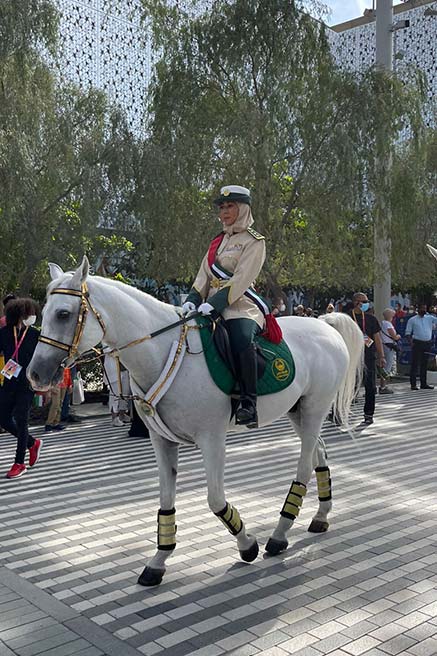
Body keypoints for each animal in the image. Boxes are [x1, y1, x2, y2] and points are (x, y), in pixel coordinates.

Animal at [25, 256, 362, 584]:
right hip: (298, 411)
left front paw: (247, 545)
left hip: (315, 408)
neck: (164, 352)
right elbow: (165, 499)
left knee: (304, 465)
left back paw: (280, 534)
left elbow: (215, 500)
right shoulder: (161, 440)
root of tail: (325, 324)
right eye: (44, 312)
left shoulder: (211, 439)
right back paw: (321, 516)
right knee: (319, 452)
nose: (35, 373)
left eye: (64, 314)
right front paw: (158, 561)